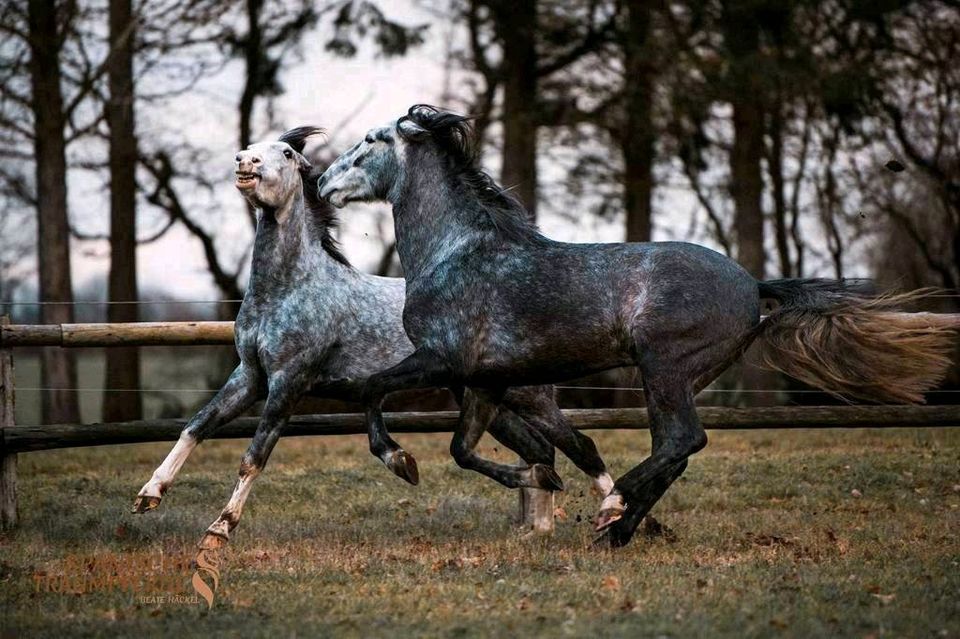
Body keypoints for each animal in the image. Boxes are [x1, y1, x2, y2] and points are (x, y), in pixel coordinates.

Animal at [132, 126, 612, 552]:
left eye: (285, 154)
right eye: (250, 147)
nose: (245, 164)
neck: (289, 288)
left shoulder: (289, 381)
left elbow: (255, 454)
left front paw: (220, 528)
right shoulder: (250, 376)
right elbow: (196, 426)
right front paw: (148, 495)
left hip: (526, 397)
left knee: (573, 446)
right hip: (487, 400)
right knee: (539, 451)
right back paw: (538, 528)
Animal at [318, 107, 956, 548]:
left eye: (372, 141)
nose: (323, 182)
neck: (455, 253)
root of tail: (754, 286)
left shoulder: (441, 362)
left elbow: (373, 392)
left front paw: (401, 461)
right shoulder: (485, 383)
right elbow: (468, 449)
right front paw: (541, 479)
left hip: (663, 366)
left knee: (682, 441)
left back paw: (616, 511)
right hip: (677, 378)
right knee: (676, 449)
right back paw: (620, 528)